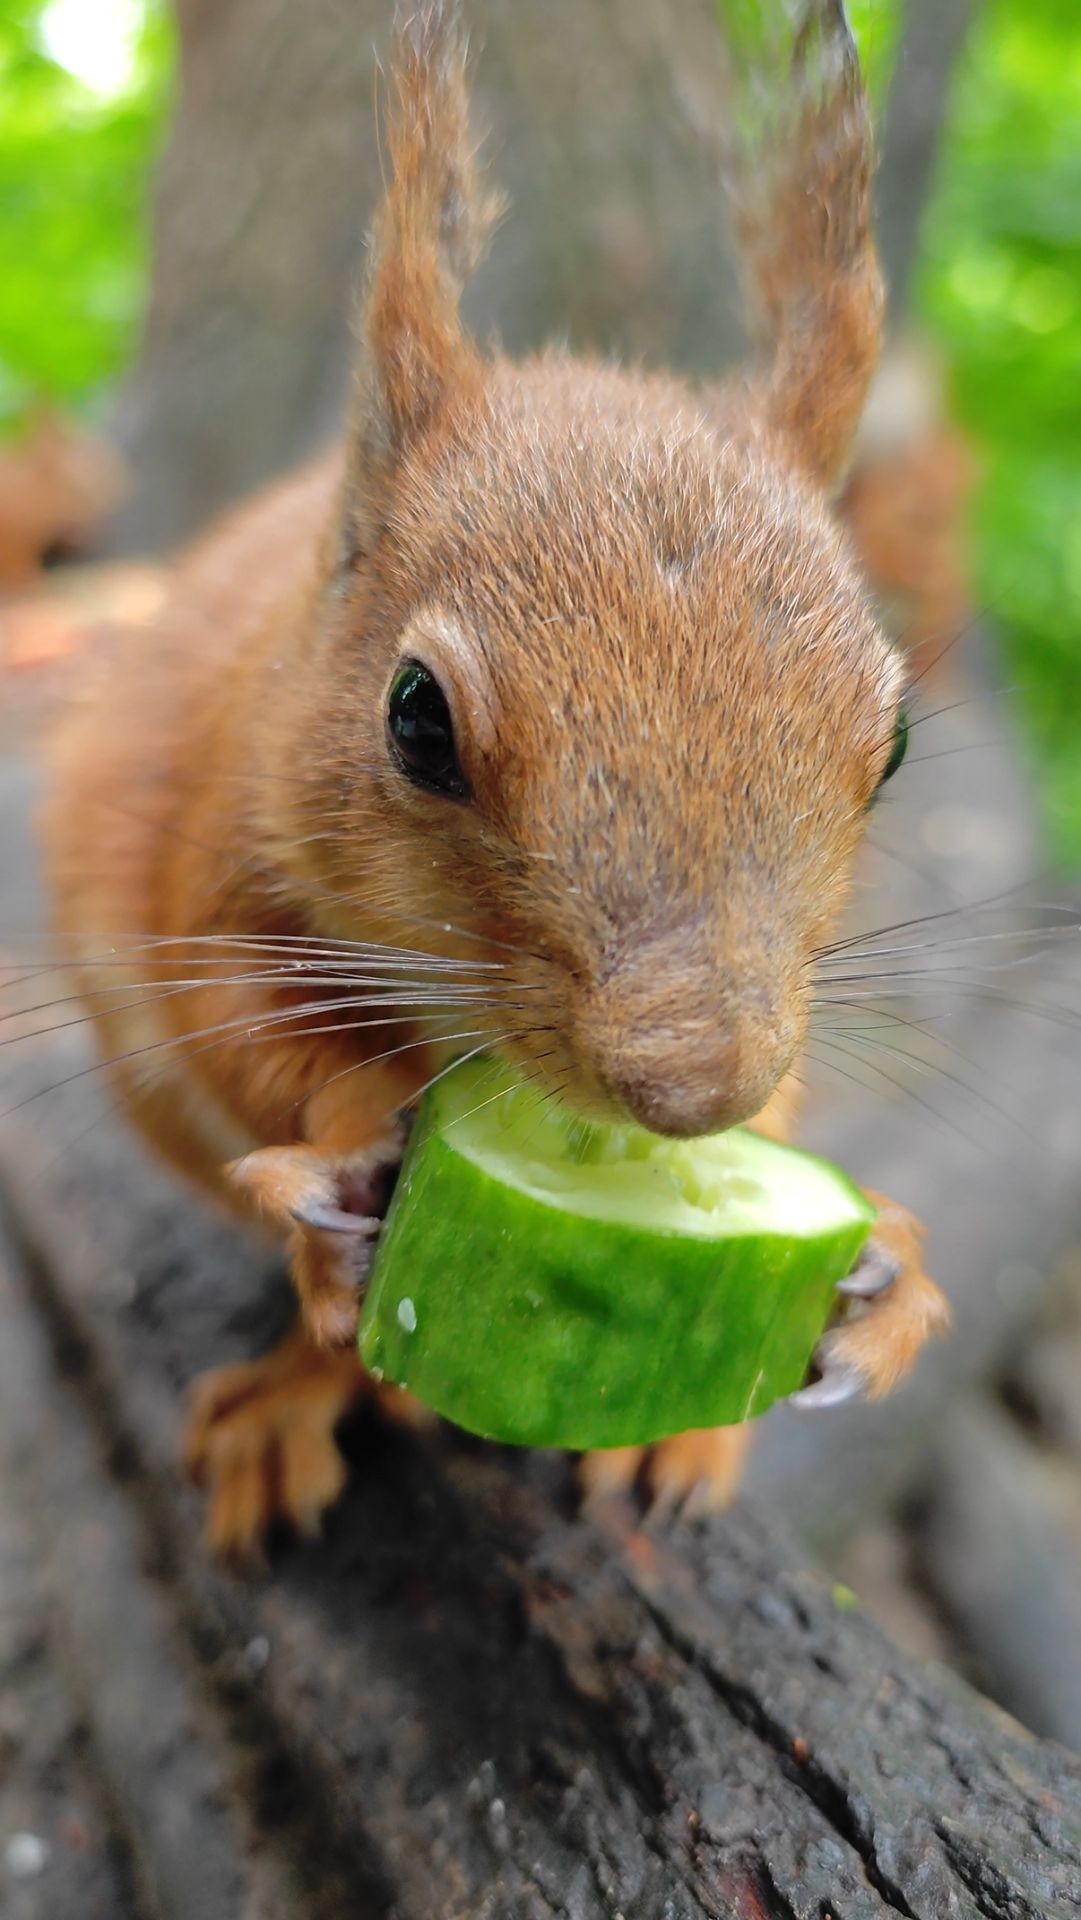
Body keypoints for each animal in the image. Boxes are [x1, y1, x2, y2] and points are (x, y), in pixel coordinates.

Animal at [43, 0, 950, 1556]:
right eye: (414, 718)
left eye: (888, 742)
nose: (690, 1087)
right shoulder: (207, 860)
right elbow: (245, 1035)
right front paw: (338, 1152)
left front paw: (888, 1269)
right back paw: (293, 1390)